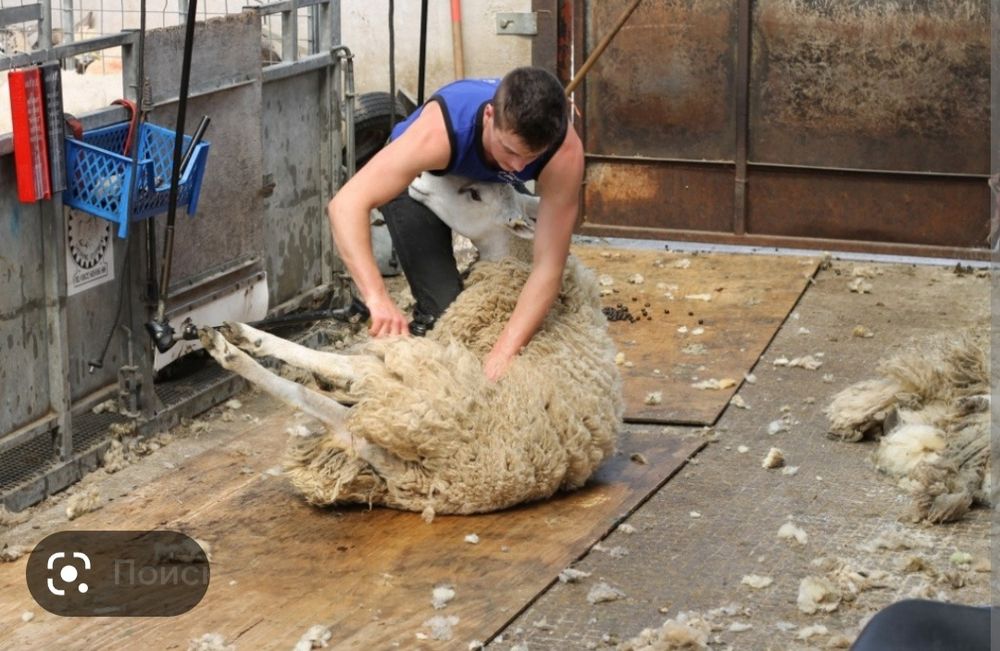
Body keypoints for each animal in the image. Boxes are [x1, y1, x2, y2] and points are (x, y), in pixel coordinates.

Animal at [197, 174, 623, 517]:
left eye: (474, 194)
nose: (420, 177)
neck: (519, 264)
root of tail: (434, 476)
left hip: (413, 384)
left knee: (331, 382)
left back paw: (233, 344)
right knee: (338, 412)